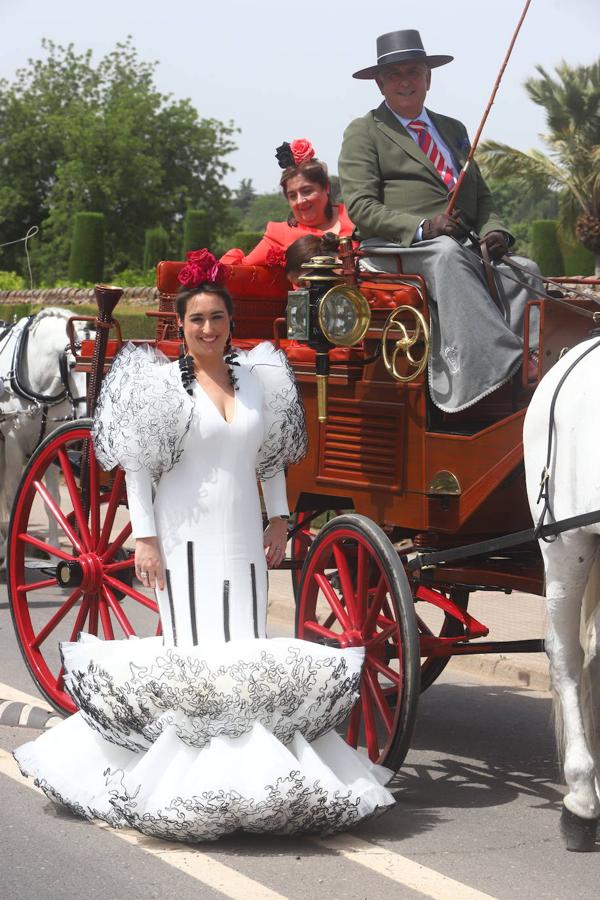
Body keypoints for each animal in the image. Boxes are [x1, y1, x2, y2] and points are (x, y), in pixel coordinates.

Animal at [0, 308, 89, 564]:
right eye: (73, 364)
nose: (87, 412)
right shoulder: (12, 442)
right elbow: (12, 496)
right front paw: (8, 554)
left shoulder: (49, 442)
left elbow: (53, 501)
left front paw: (55, 555)